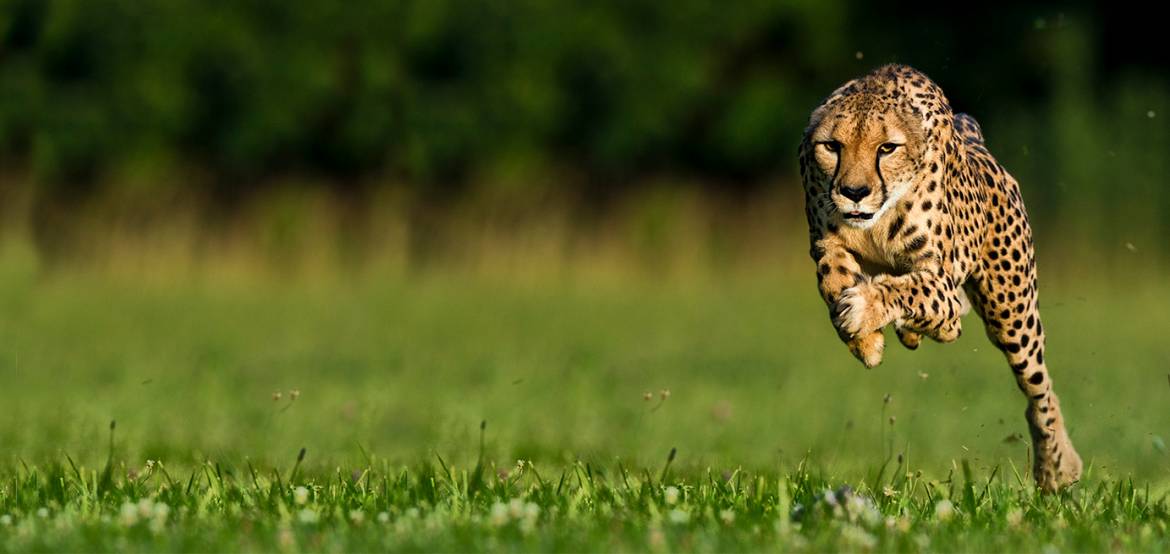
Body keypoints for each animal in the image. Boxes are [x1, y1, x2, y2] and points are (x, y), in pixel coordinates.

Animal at [797, 64, 1082, 492]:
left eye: (887, 148)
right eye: (832, 146)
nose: (854, 191)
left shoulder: (940, 280)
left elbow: (910, 289)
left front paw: (864, 310)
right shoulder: (826, 243)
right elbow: (832, 278)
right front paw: (865, 341)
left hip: (1011, 314)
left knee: (1039, 388)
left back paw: (1057, 467)